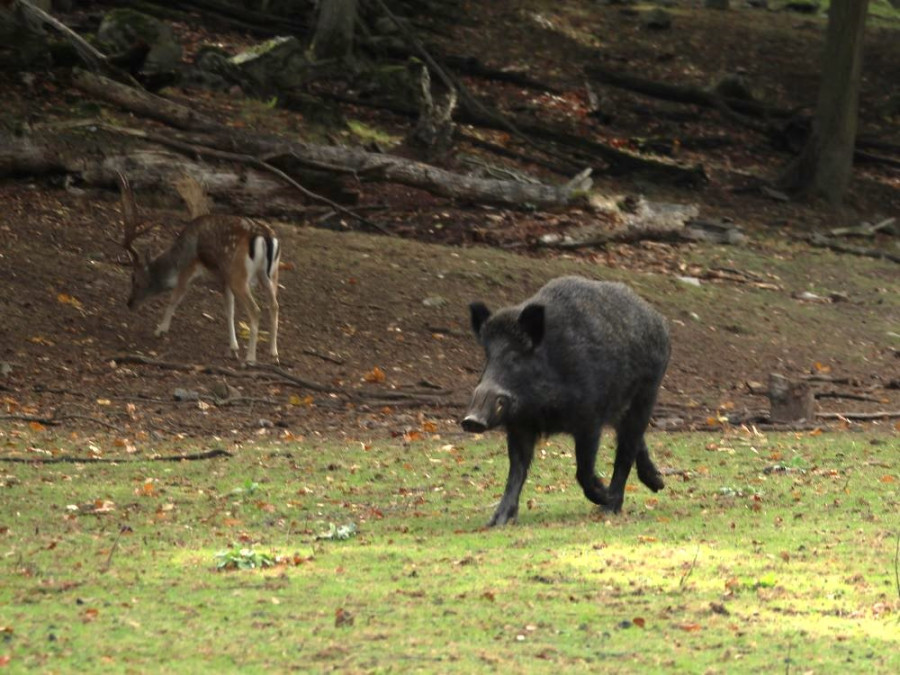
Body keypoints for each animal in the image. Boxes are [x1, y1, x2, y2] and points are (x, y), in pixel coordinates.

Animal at [119, 173, 280, 364]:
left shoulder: (188, 269)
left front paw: (160, 330)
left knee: (255, 310)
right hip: (270, 274)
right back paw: (274, 354)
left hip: (239, 276)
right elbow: (229, 310)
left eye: (134, 279)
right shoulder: (224, 278)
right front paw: (232, 348)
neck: (178, 257)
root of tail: (265, 236)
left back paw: (250, 358)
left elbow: (175, 298)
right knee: (274, 305)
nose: (129, 303)